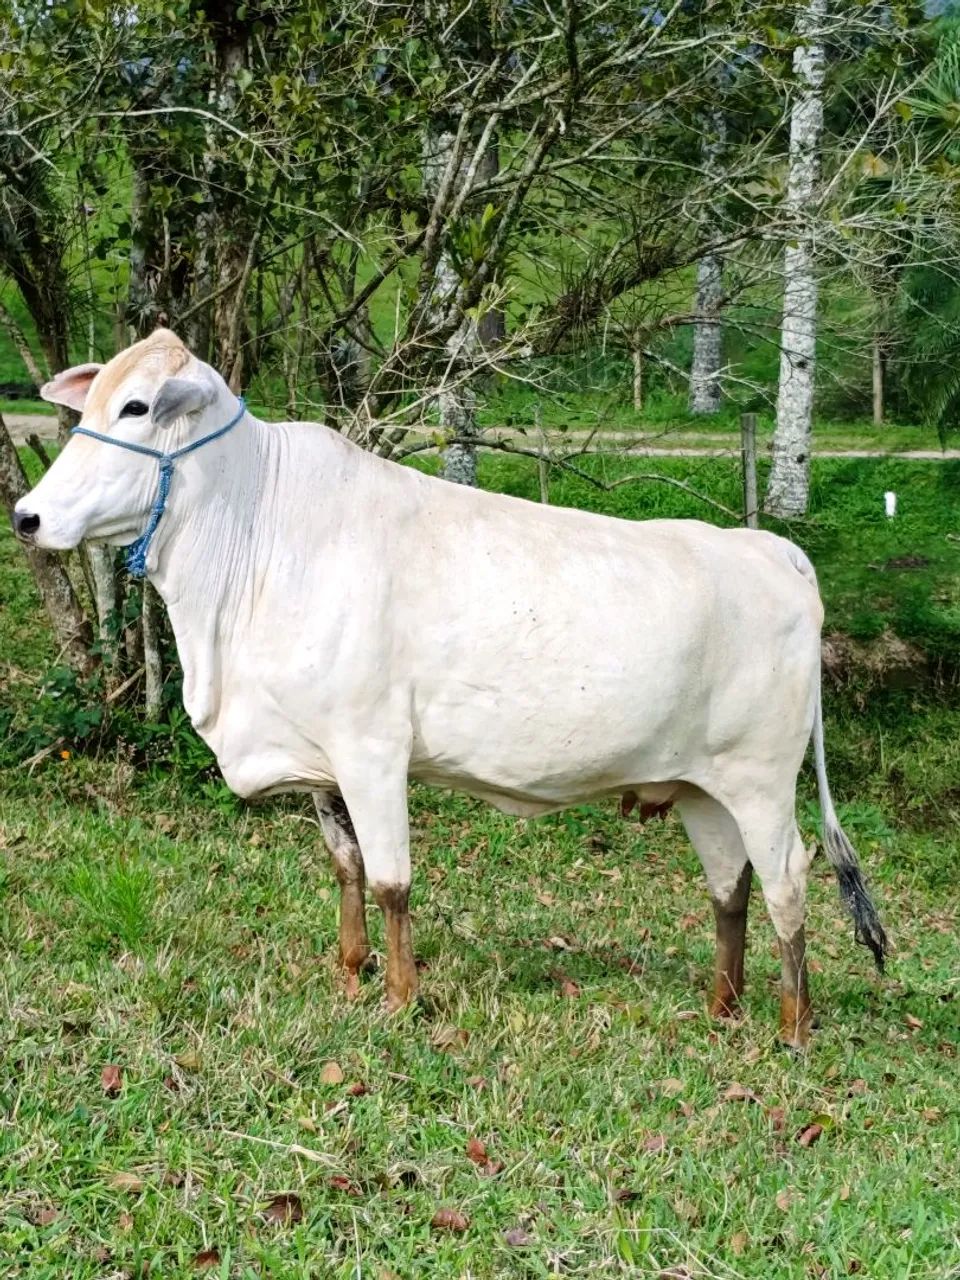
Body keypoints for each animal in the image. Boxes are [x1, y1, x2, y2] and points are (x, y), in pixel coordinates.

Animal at [13, 329, 888, 1048]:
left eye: (137, 406)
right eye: (91, 401)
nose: (26, 516)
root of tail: (773, 549)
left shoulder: (372, 748)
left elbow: (392, 880)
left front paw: (401, 1000)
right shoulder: (320, 759)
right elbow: (347, 866)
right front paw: (350, 973)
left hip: (762, 778)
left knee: (788, 880)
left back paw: (792, 1027)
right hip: (703, 787)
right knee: (729, 888)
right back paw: (721, 1007)